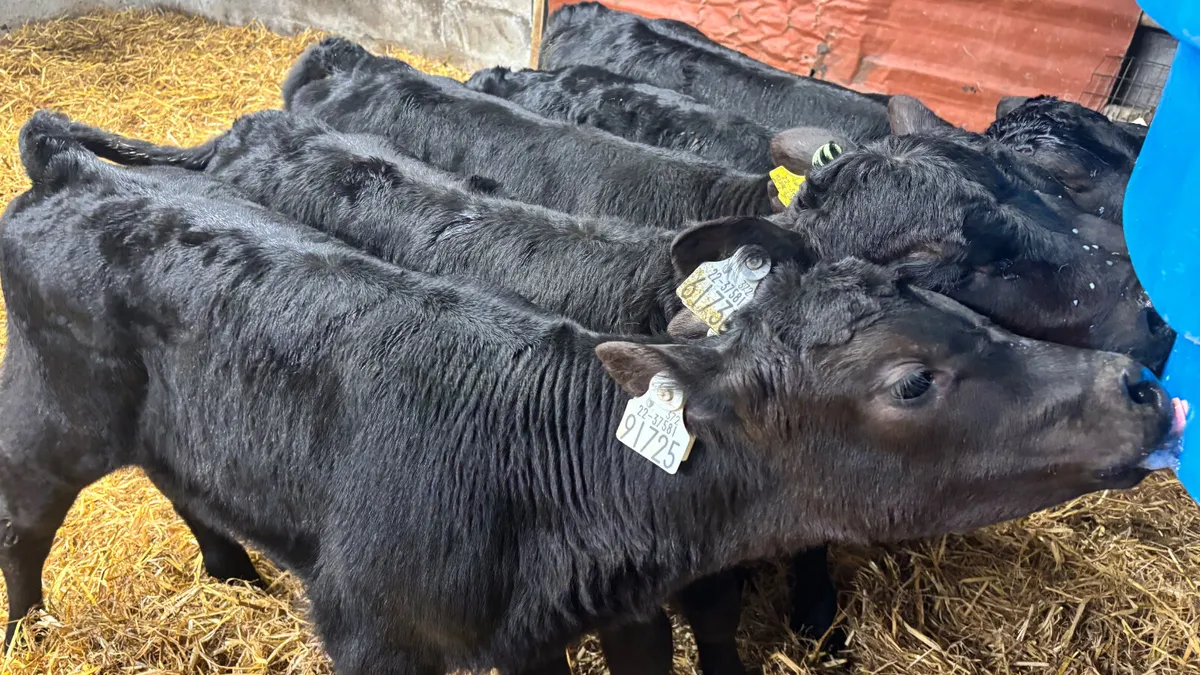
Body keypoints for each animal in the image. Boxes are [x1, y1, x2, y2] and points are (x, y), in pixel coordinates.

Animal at [0, 110, 1181, 675]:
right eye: (949, 253)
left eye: (1015, 183)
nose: (1154, 328)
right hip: (54, 420)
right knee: (28, 519)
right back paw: (33, 633)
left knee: (180, 473)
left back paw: (228, 568)